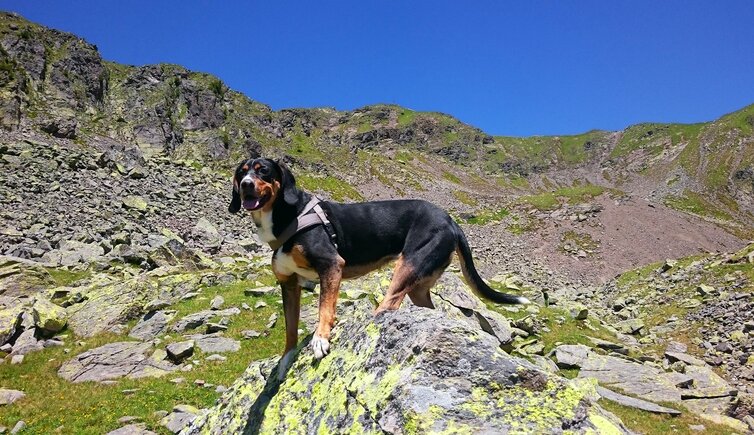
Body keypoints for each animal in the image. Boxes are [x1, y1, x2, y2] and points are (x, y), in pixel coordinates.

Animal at [226, 158, 524, 378]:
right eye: (241, 172)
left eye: (263, 171)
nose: (246, 185)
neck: (288, 217)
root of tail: (450, 220)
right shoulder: (288, 283)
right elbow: (290, 327)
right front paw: (286, 358)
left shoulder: (331, 265)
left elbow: (324, 308)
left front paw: (321, 339)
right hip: (419, 284)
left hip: (408, 265)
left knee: (390, 303)